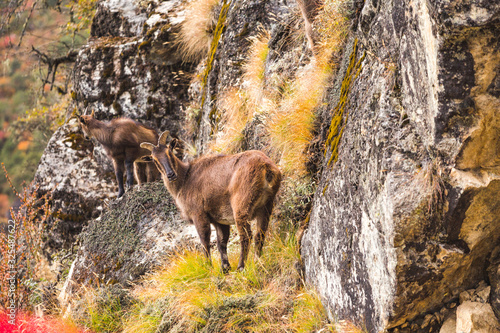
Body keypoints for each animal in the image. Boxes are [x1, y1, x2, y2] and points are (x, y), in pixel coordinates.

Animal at [141, 130, 282, 270]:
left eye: (169, 151)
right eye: (154, 159)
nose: (170, 175)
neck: (185, 179)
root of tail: (266, 167)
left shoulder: (199, 214)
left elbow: (205, 241)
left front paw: (208, 266)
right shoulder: (219, 220)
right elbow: (221, 242)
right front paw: (225, 268)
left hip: (241, 207)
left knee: (246, 235)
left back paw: (241, 266)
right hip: (266, 205)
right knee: (260, 233)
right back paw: (257, 261)